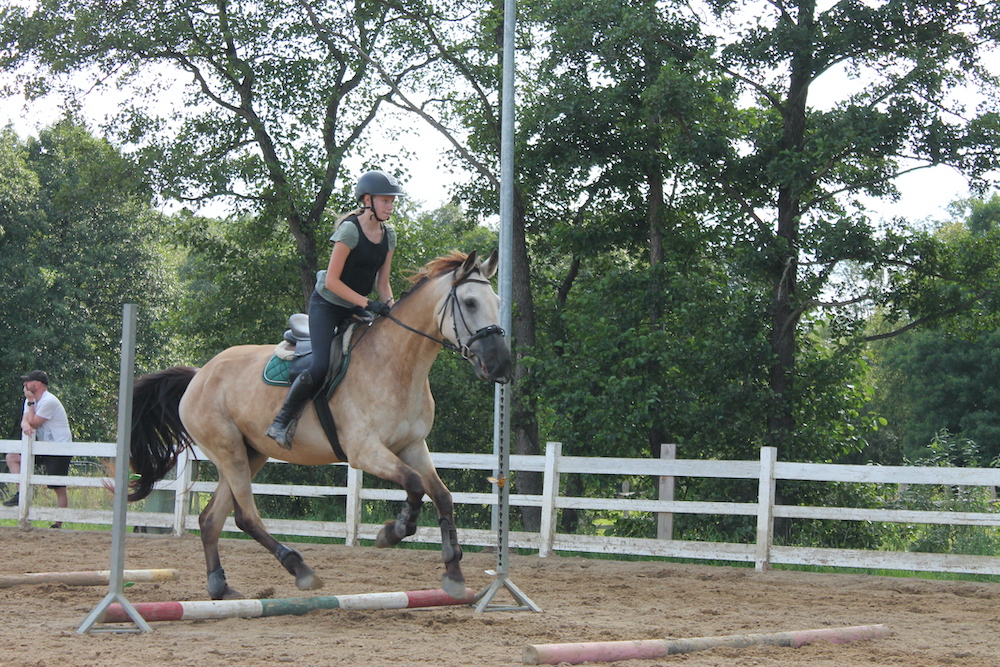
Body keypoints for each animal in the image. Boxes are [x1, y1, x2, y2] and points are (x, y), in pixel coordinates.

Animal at [126, 250, 511, 600]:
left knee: (211, 519)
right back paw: (300, 569)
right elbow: (415, 485)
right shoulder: (364, 452)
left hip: (249, 453)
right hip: (228, 451)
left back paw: (220, 586)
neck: (398, 363)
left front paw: (454, 573)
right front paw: (394, 531)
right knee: (246, 516)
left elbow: (442, 496)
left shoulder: (412, 446)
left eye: (497, 301)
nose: (500, 366)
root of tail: (198, 375)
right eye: (470, 302)